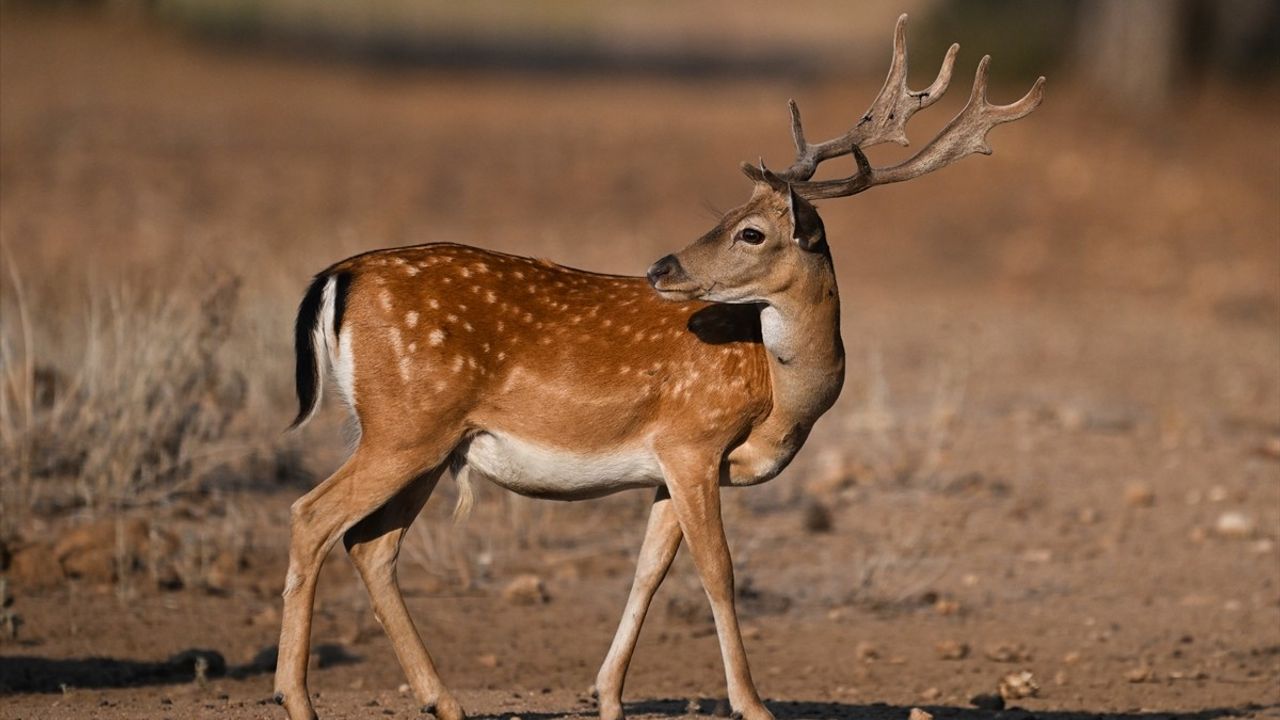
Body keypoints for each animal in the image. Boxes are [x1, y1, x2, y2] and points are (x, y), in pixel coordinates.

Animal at [272, 15, 1039, 717]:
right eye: (729, 216)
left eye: (749, 230)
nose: (661, 267)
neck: (779, 394)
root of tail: (338, 277)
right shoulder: (693, 439)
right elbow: (718, 572)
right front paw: (752, 704)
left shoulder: (668, 466)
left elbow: (649, 571)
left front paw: (607, 694)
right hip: (406, 424)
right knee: (312, 517)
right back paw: (297, 697)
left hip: (429, 441)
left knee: (370, 544)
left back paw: (442, 700)